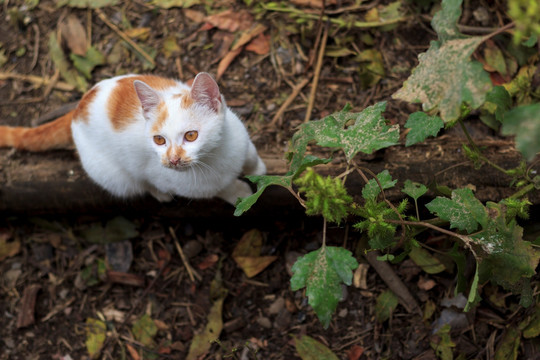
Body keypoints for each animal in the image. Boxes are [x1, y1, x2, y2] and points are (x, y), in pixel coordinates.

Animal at [0, 72, 266, 205]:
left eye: (191, 135)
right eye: (159, 140)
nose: (173, 160)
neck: (216, 157)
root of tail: (77, 109)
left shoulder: (240, 138)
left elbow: (251, 157)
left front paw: (259, 171)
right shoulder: (172, 179)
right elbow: (223, 189)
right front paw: (240, 192)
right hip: (111, 174)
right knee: (135, 182)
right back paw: (160, 195)